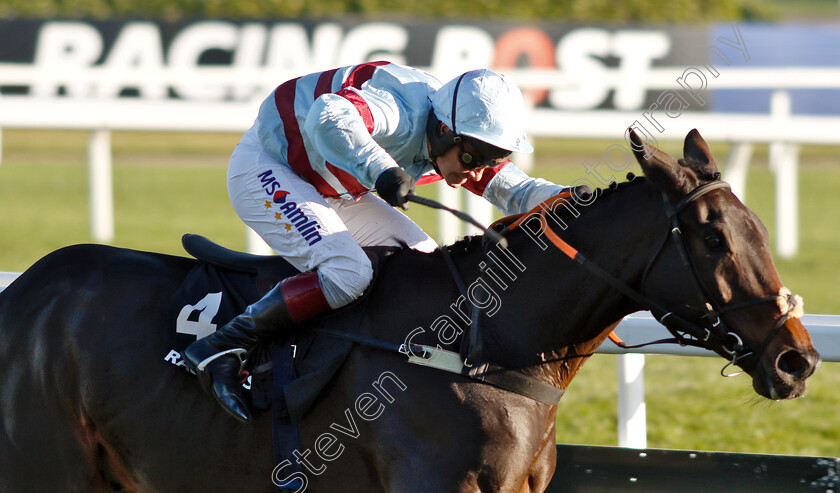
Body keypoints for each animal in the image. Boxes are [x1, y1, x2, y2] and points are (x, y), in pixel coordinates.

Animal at [0, 131, 820, 492]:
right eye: (713, 237)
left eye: (757, 227)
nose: (798, 357)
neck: (484, 346)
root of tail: (24, 293)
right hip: (51, 471)